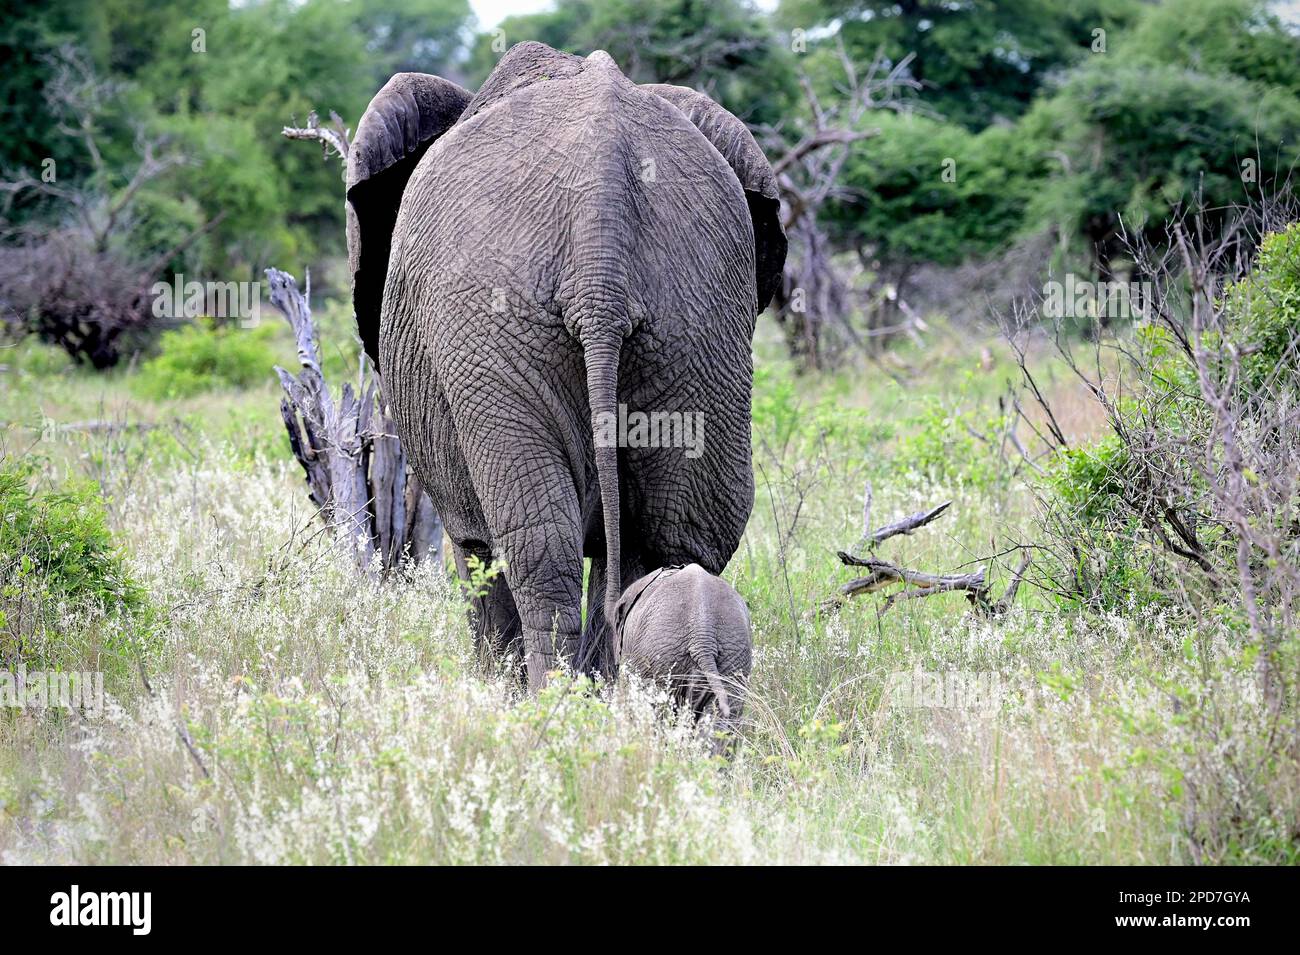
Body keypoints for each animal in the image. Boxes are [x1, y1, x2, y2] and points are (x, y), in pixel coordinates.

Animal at [345, 39, 785, 686]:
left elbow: (472, 544)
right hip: (700, 321)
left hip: (490, 325)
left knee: (538, 542)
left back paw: (548, 699)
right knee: (672, 533)